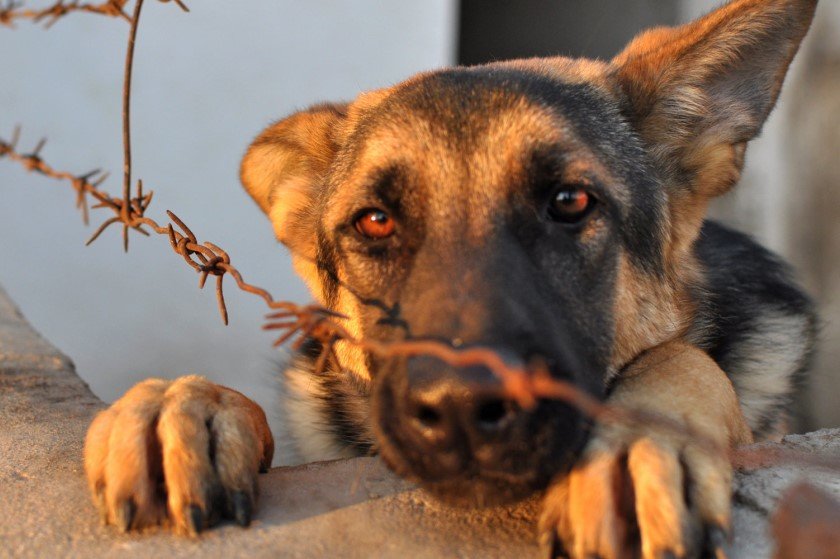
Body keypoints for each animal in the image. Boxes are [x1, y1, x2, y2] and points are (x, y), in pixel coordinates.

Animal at [85, 2, 820, 556]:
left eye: (570, 202)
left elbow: (680, 359)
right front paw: (183, 401)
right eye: (375, 221)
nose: (463, 407)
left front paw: (640, 439)